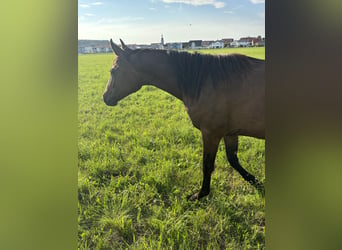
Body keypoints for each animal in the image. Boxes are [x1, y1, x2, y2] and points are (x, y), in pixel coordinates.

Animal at [101, 38, 264, 200]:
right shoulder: (229, 132)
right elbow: (233, 159)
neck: (205, 82)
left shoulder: (211, 133)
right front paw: (255, 181)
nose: (105, 97)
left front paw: (200, 194)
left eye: (113, 71)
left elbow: (207, 164)